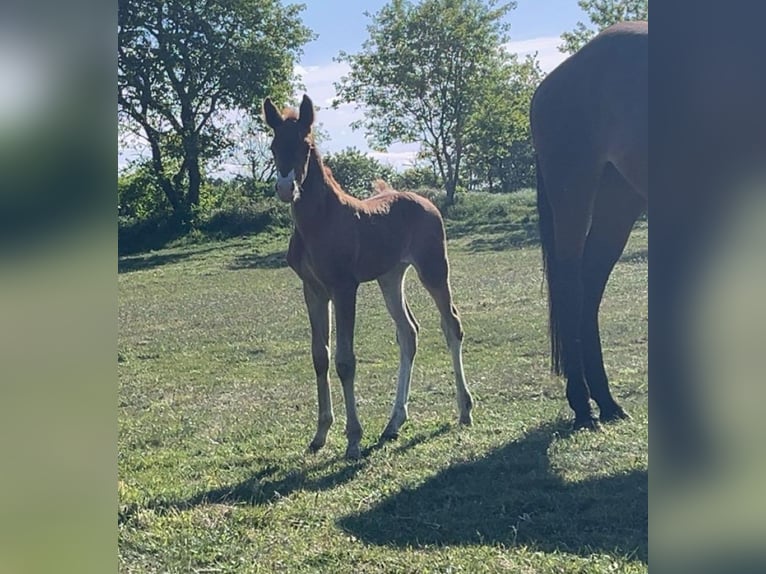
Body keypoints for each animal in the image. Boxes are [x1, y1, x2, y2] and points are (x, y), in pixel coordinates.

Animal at [262, 94, 473, 459]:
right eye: (274, 145)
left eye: (305, 145)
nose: (287, 187)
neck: (320, 223)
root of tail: (425, 201)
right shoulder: (313, 289)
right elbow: (320, 356)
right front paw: (320, 434)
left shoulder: (344, 288)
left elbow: (345, 361)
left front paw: (353, 439)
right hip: (390, 277)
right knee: (409, 332)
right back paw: (394, 422)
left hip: (433, 269)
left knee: (451, 325)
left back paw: (464, 410)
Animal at [530, 21, 648, 429]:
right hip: (574, 195)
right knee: (571, 286)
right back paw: (583, 404)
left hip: (619, 198)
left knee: (590, 283)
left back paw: (606, 401)